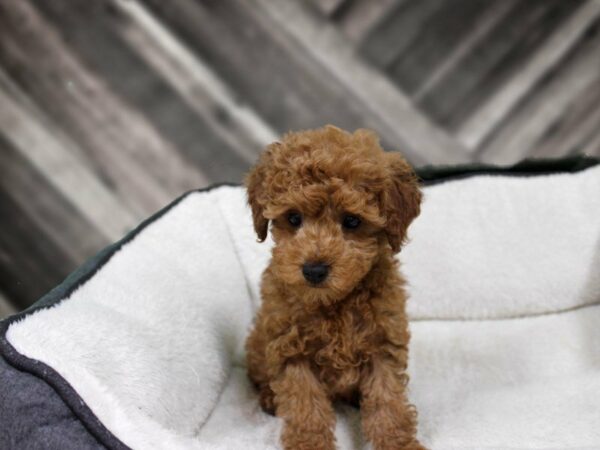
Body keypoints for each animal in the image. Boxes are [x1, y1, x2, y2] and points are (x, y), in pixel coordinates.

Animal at [246, 124, 424, 450]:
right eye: (293, 218)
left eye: (352, 221)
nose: (314, 270)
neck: (335, 303)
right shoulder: (290, 350)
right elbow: (306, 409)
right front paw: (309, 445)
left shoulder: (383, 345)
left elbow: (388, 404)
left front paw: (399, 443)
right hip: (257, 346)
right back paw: (268, 398)